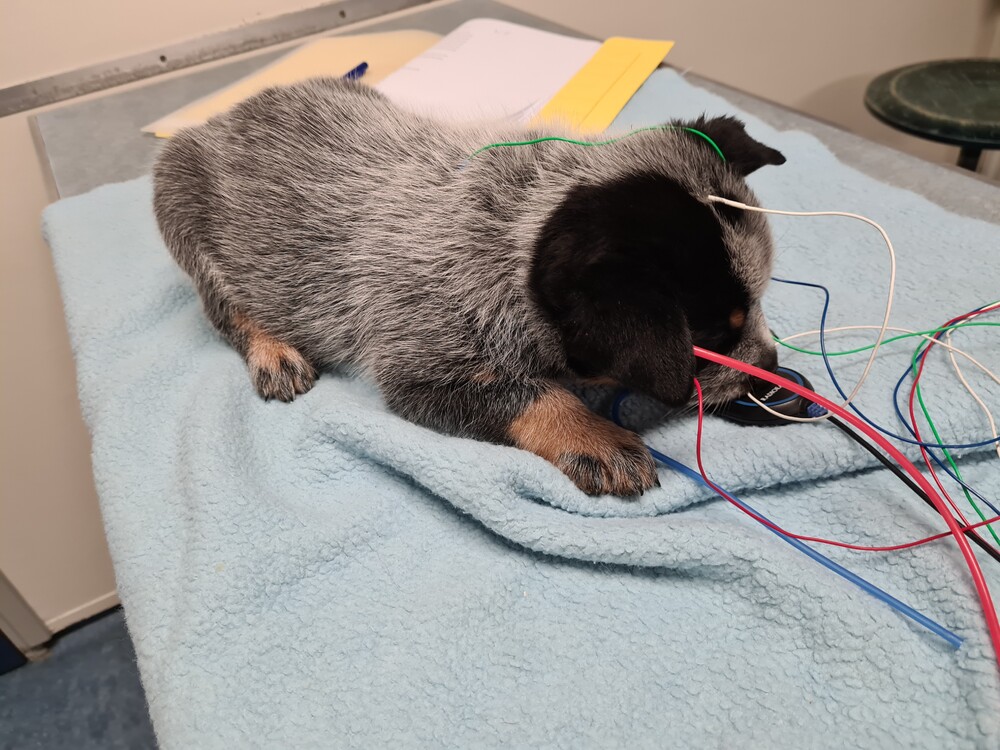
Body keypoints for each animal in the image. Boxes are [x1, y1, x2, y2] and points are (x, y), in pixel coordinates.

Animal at [153, 77, 785, 497]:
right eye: (709, 339)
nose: (773, 369)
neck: (516, 226)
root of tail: (219, 118)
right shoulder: (423, 370)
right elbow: (537, 395)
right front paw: (598, 439)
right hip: (177, 202)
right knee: (225, 306)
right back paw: (274, 352)